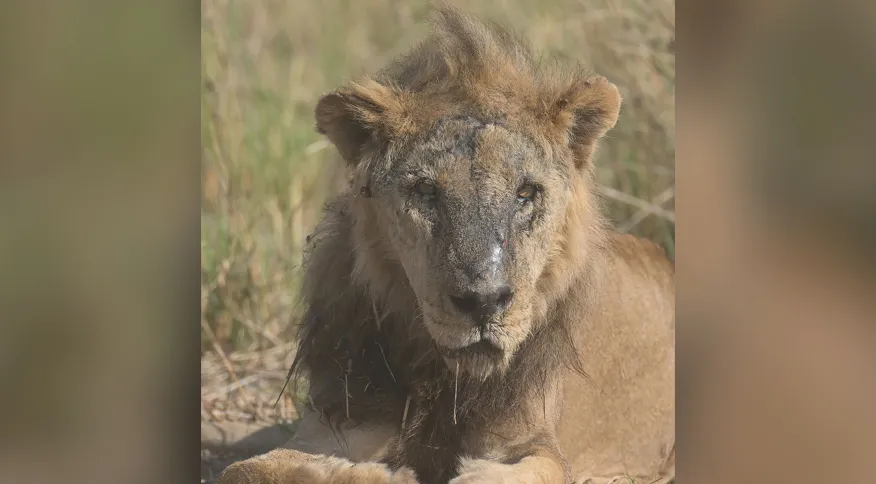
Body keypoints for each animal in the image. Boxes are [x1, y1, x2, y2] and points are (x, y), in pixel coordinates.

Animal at [216, 4, 676, 484]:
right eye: (426, 191)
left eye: (526, 192)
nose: (483, 302)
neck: (442, 375)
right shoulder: (338, 421)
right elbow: (251, 469)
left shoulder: (538, 446)